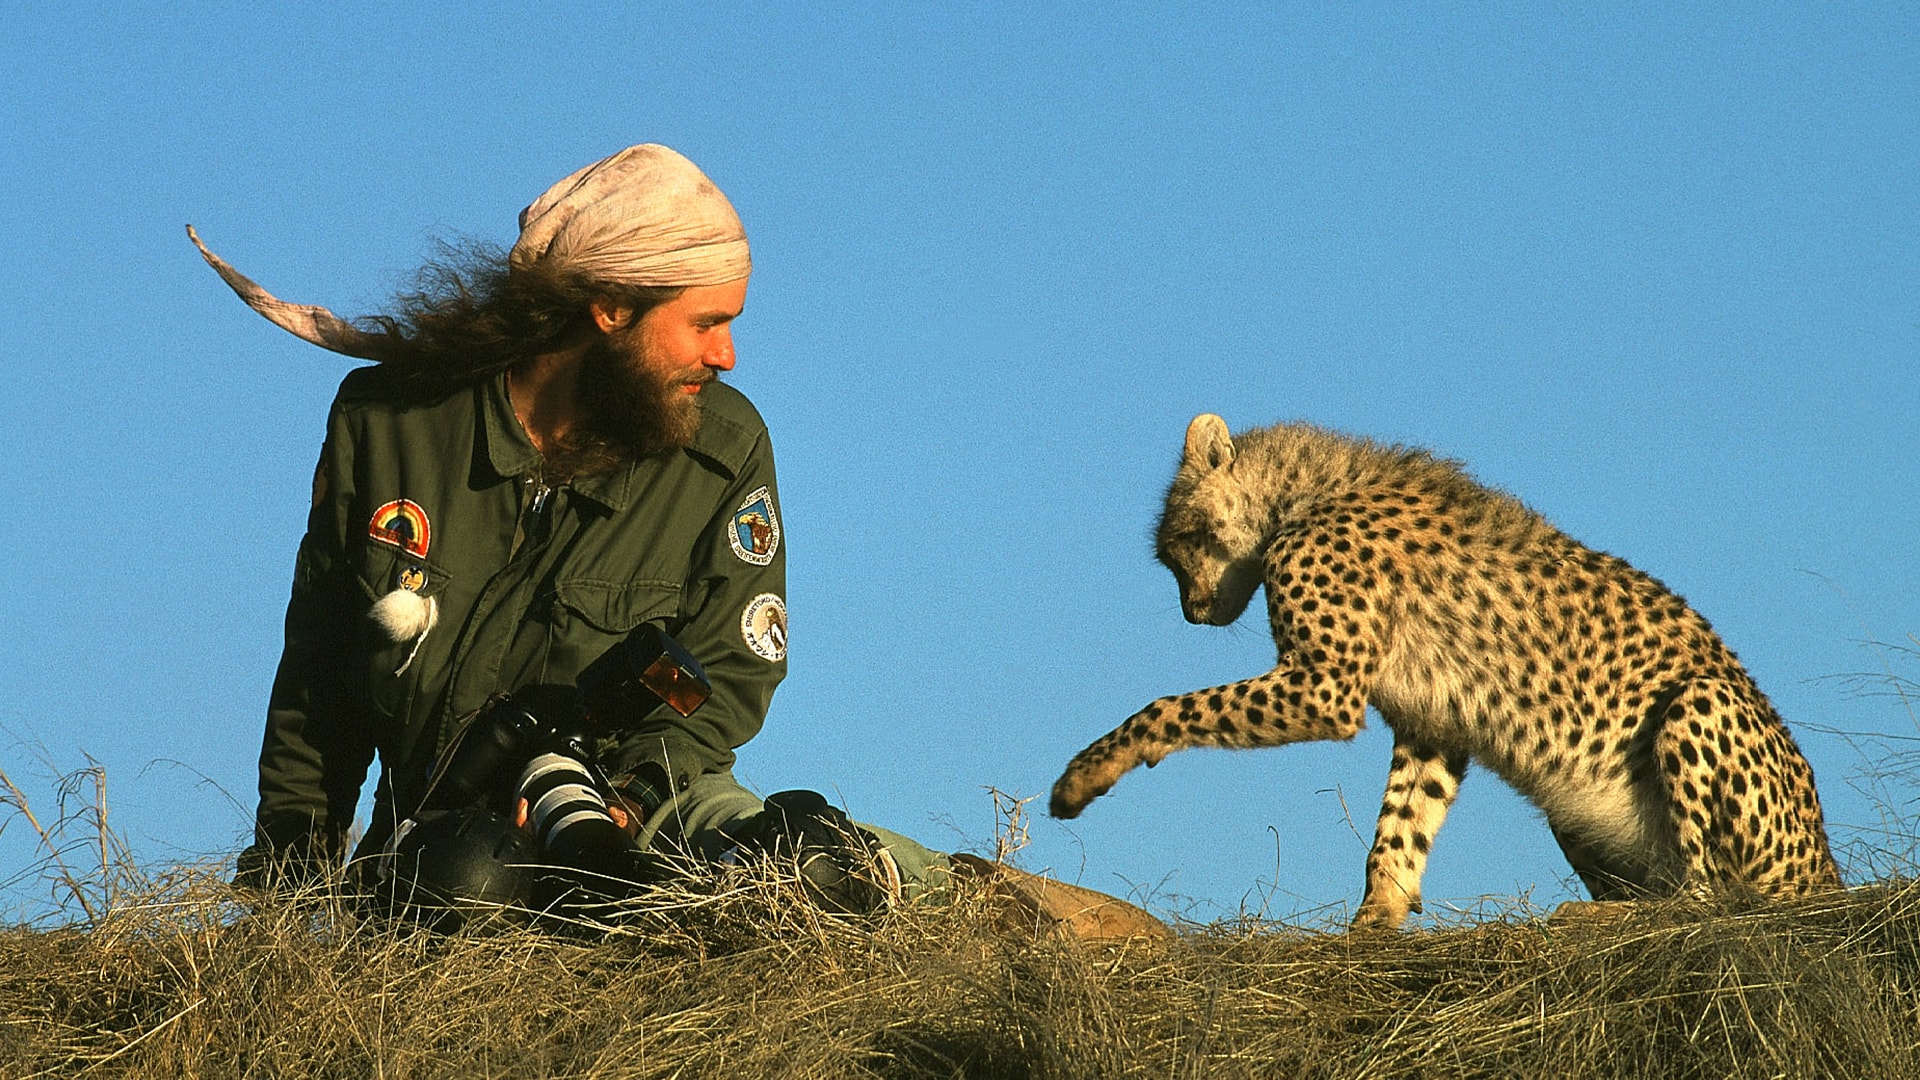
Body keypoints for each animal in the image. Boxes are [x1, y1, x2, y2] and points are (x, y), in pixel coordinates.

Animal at [1052, 411, 1843, 926]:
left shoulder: (1324, 685)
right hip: (1579, 811)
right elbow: (1403, 822)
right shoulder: (1433, 719)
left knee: (1707, 903)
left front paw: (1085, 774)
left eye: (1178, 546)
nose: (1192, 612)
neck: (1299, 497)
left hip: (1701, 704)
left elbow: (1170, 705)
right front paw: (1374, 921)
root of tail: (1829, 874)